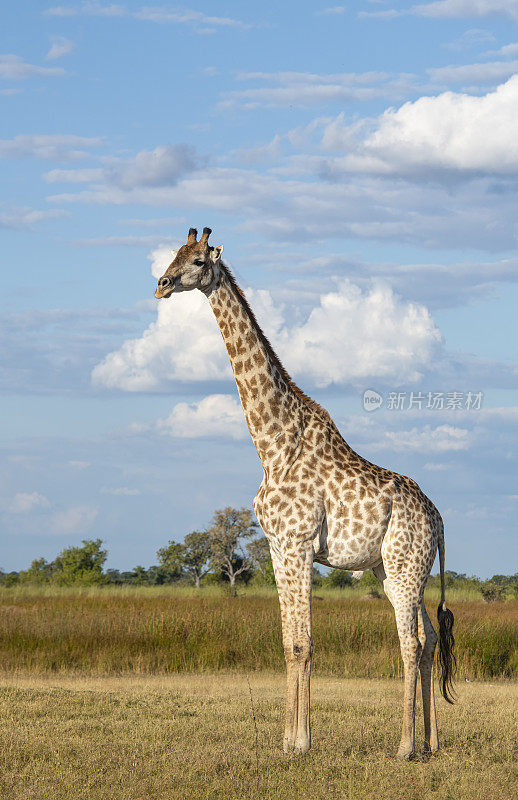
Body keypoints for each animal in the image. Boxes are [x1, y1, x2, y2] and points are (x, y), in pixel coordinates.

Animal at [156, 227, 458, 764]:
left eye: (197, 261)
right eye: (173, 253)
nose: (162, 284)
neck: (272, 444)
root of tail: (439, 519)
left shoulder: (298, 545)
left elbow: (304, 644)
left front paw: (300, 743)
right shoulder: (278, 548)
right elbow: (287, 642)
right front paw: (286, 740)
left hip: (404, 569)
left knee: (409, 643)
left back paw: (405, 747)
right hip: (399, 570)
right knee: (426, 640)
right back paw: (431, 743)